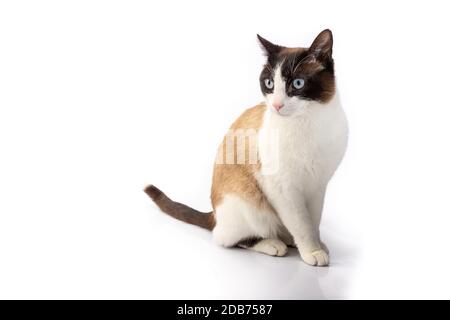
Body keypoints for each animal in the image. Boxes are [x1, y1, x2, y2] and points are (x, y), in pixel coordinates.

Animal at [144, 30, 348, 266]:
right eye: (269, 83)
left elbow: (312, 222)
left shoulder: (317, 185)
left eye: (297, 83)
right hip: (249, 205)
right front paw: (312, 252)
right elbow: (302, 224)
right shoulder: (283, 189)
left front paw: (317, 245)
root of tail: (214, 213)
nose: (276, 105)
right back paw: (274, 244)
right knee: (228, 238)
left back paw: (288, 239)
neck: (308, 123)